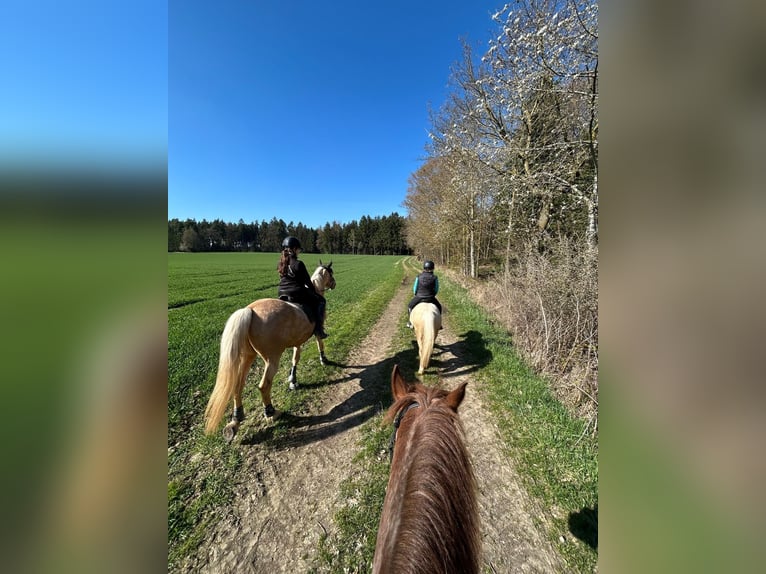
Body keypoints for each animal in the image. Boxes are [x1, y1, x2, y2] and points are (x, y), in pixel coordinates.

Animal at [203, 261, 336, 441]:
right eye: (331, 273)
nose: (334, 284)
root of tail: (250, 311)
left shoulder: (297, 341)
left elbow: (295, 358)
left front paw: (293, 380)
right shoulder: (316, 331)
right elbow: (319, 343)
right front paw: (324, 360)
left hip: (248, 356)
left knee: (238, 385)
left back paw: (236, 421)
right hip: (271, 359)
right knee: (264, 385)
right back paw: (271, 412)